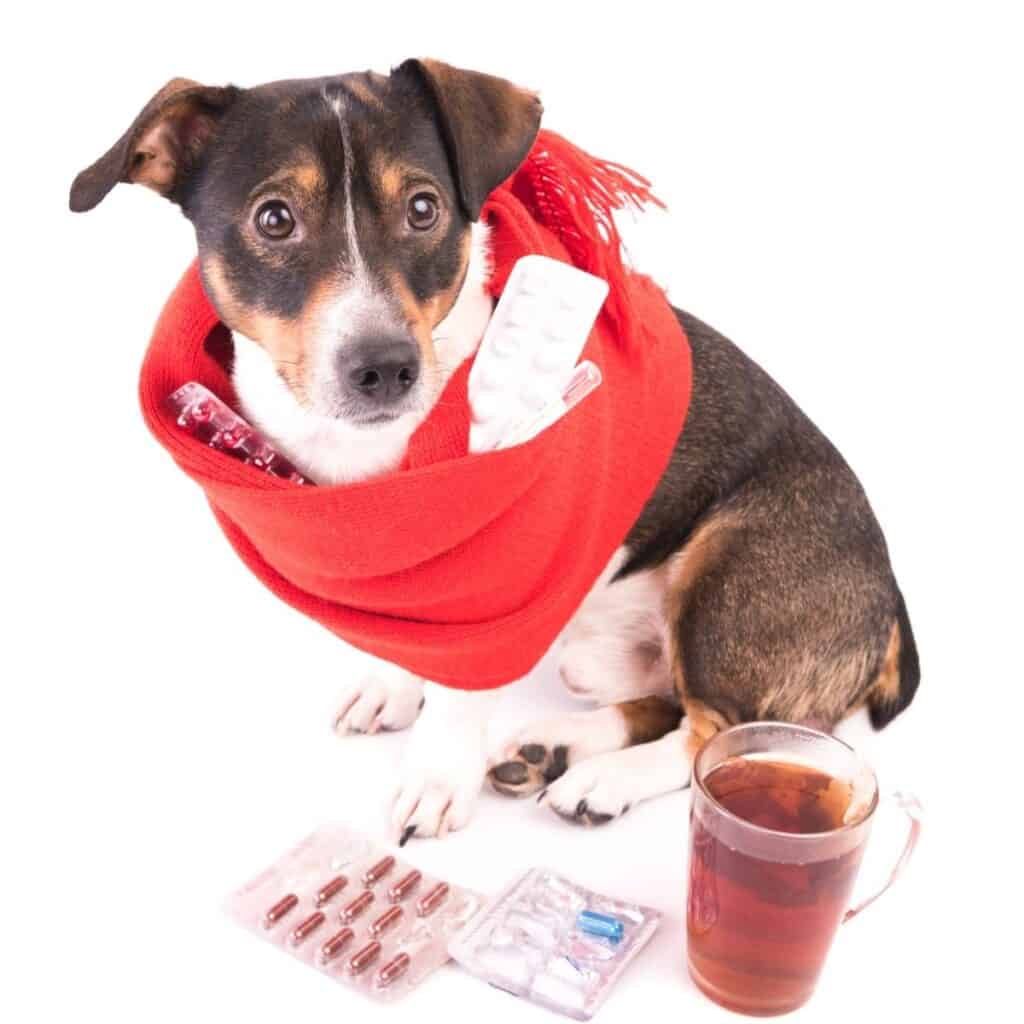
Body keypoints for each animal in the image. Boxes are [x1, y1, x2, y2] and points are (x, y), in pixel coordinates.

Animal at [70, 58, 921, 839]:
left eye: (423, 208)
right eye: (274, 219)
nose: (384, 366)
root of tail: (889, 607)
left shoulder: (494, 585)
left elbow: (460, 692)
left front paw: (436, 779)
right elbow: (415, 639)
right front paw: (394, 684)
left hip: (730, 577)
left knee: (721, 734)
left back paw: (603, 777)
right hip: (604, 652)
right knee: (669, 704)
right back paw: (557, 747)